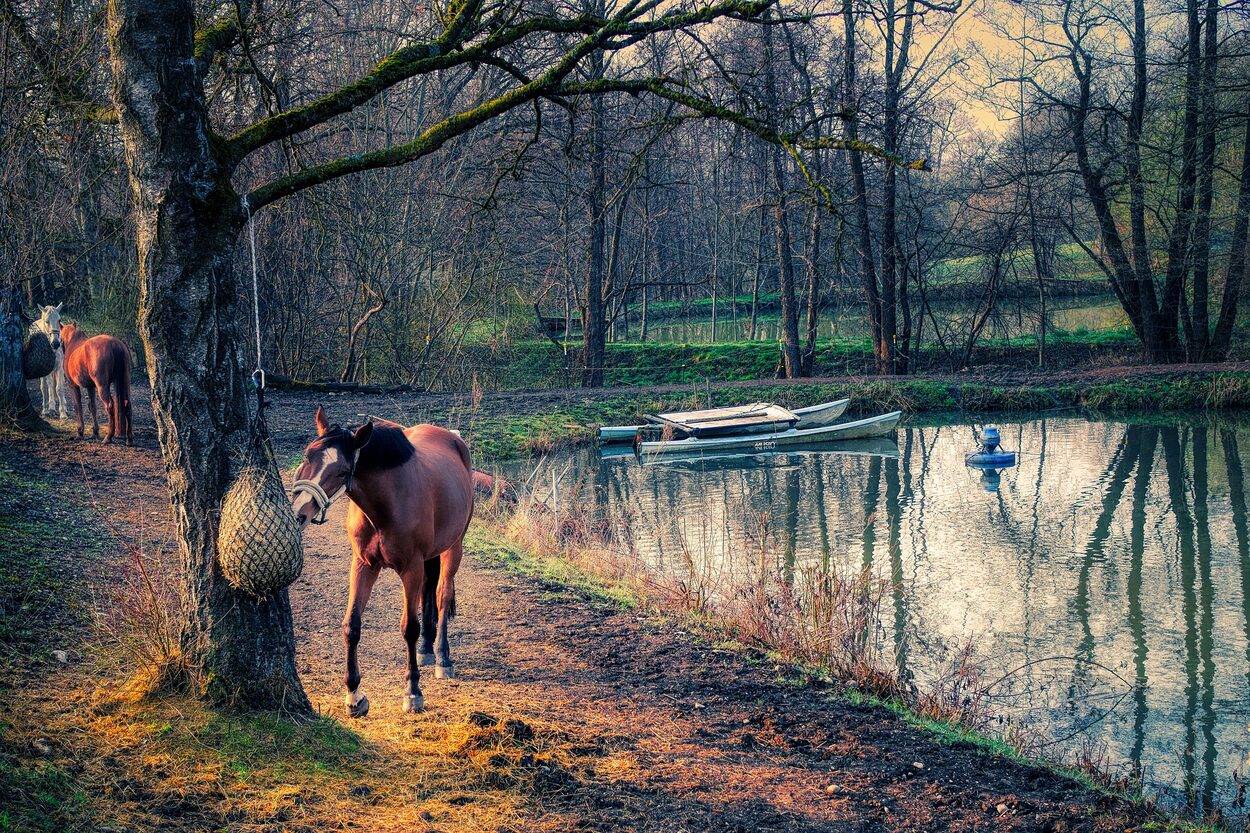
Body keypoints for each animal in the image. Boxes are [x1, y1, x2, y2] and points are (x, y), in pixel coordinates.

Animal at [291, 405, 474, 717]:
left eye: (343, 471)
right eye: (307, 456)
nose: (299, 513)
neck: (386, 503)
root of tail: (454, 440)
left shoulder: (411, 569)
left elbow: (409, 628)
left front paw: (413, 692)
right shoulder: (363, 564)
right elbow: (351, 625)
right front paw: (354, 694)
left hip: (454, 547)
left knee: (442, 595)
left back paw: (442, 657)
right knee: (428, 593)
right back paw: (426, 650)